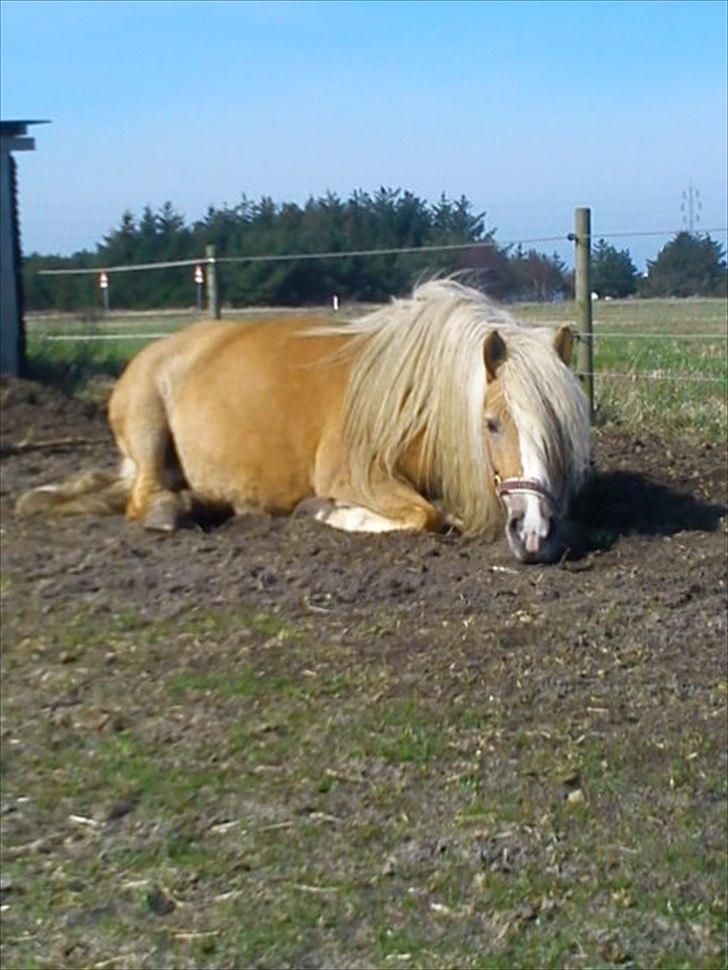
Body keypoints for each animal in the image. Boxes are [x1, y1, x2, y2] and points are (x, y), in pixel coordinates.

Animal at [17, 280, 592, 564]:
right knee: (143, 499)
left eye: (560, 429)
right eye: (492, 423)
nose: (534, 533)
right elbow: (425, 516)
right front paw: (325, 512)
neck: (410, 395)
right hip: (146, 423)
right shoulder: (353, 474)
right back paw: (172, 509)